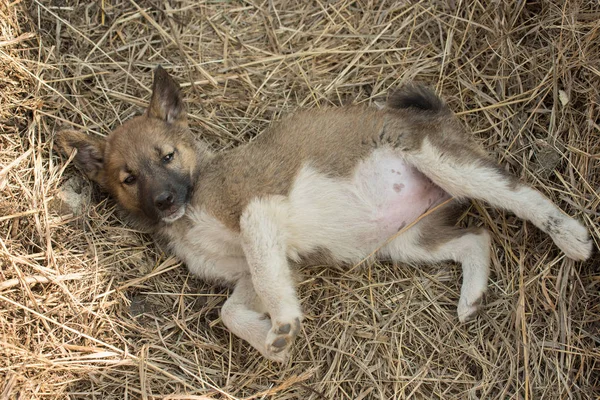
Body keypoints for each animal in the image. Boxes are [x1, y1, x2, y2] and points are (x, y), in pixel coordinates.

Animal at [57, 66, 596, 362]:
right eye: (128, 178)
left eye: (167, 156)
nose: (167, 202)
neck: (192, 211)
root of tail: (433, 115)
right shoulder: (250, 264)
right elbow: (232, 311)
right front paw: (270, 341)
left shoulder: (256, 215)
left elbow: (266, 293)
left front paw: (282, 326)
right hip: (408, 241)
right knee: (477, 238)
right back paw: (472, 298)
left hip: (447, 164)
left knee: (525, 197)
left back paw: (572, 238)